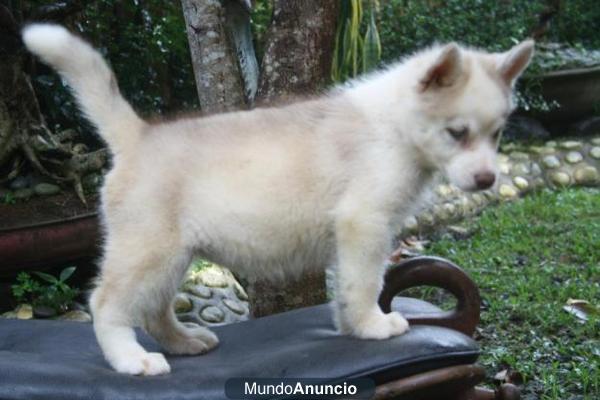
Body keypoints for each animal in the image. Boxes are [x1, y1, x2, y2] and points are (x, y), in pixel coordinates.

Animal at [22, 24, 536, 376]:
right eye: (457, 132)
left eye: (497, 133)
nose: (487, 179)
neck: (395, 125)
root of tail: (138, 135)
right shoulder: (364, 223)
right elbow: (365, 282)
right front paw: (373, 325)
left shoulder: (353, 236)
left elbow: (347, 285)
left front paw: (350, 326)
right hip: (148, 251)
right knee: (106, 302)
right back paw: (132, 359)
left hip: (172, 256)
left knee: (152, 308)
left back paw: (184, 342)